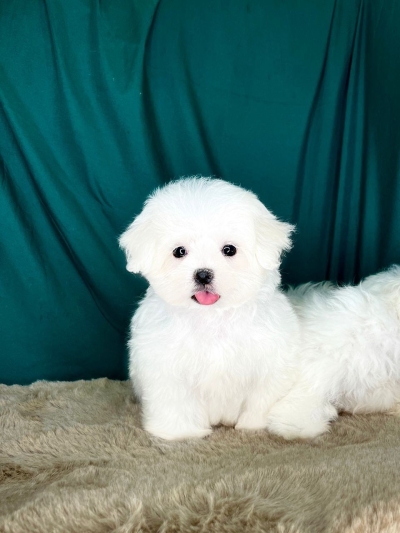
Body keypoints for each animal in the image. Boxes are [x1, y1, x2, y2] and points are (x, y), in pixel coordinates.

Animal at [120, 177, 400, 438]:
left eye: (229, 250)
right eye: (179, 252)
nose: (203, 274)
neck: (213, 317)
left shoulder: (270, 364)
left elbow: (261, 399)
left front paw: (253, 428)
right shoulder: (166, 367)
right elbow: (174, 401)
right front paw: (180, 433)